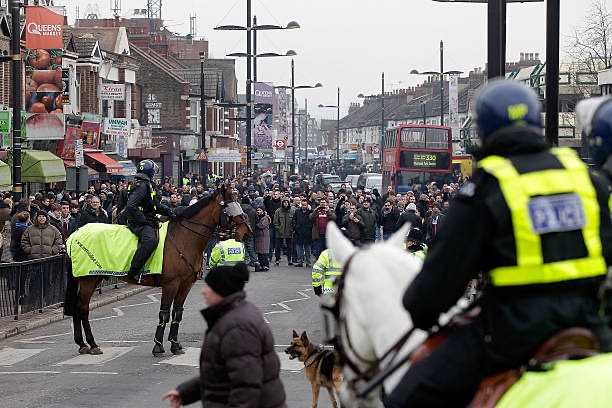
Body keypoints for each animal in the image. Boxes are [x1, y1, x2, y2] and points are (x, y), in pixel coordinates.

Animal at [64, 186, 251, 356]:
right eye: (229, 207)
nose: (247, 233)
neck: (183, 239)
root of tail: (75, 234)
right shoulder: (170, 284)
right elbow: (164, 314)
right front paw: (158, 346)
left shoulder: (185, 285)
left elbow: (177, 314)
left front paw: (175, 344)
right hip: (88, 279)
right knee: (82, 308)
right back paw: (91, 343)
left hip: (93, 277)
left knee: (79, 306)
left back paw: (82, 344)